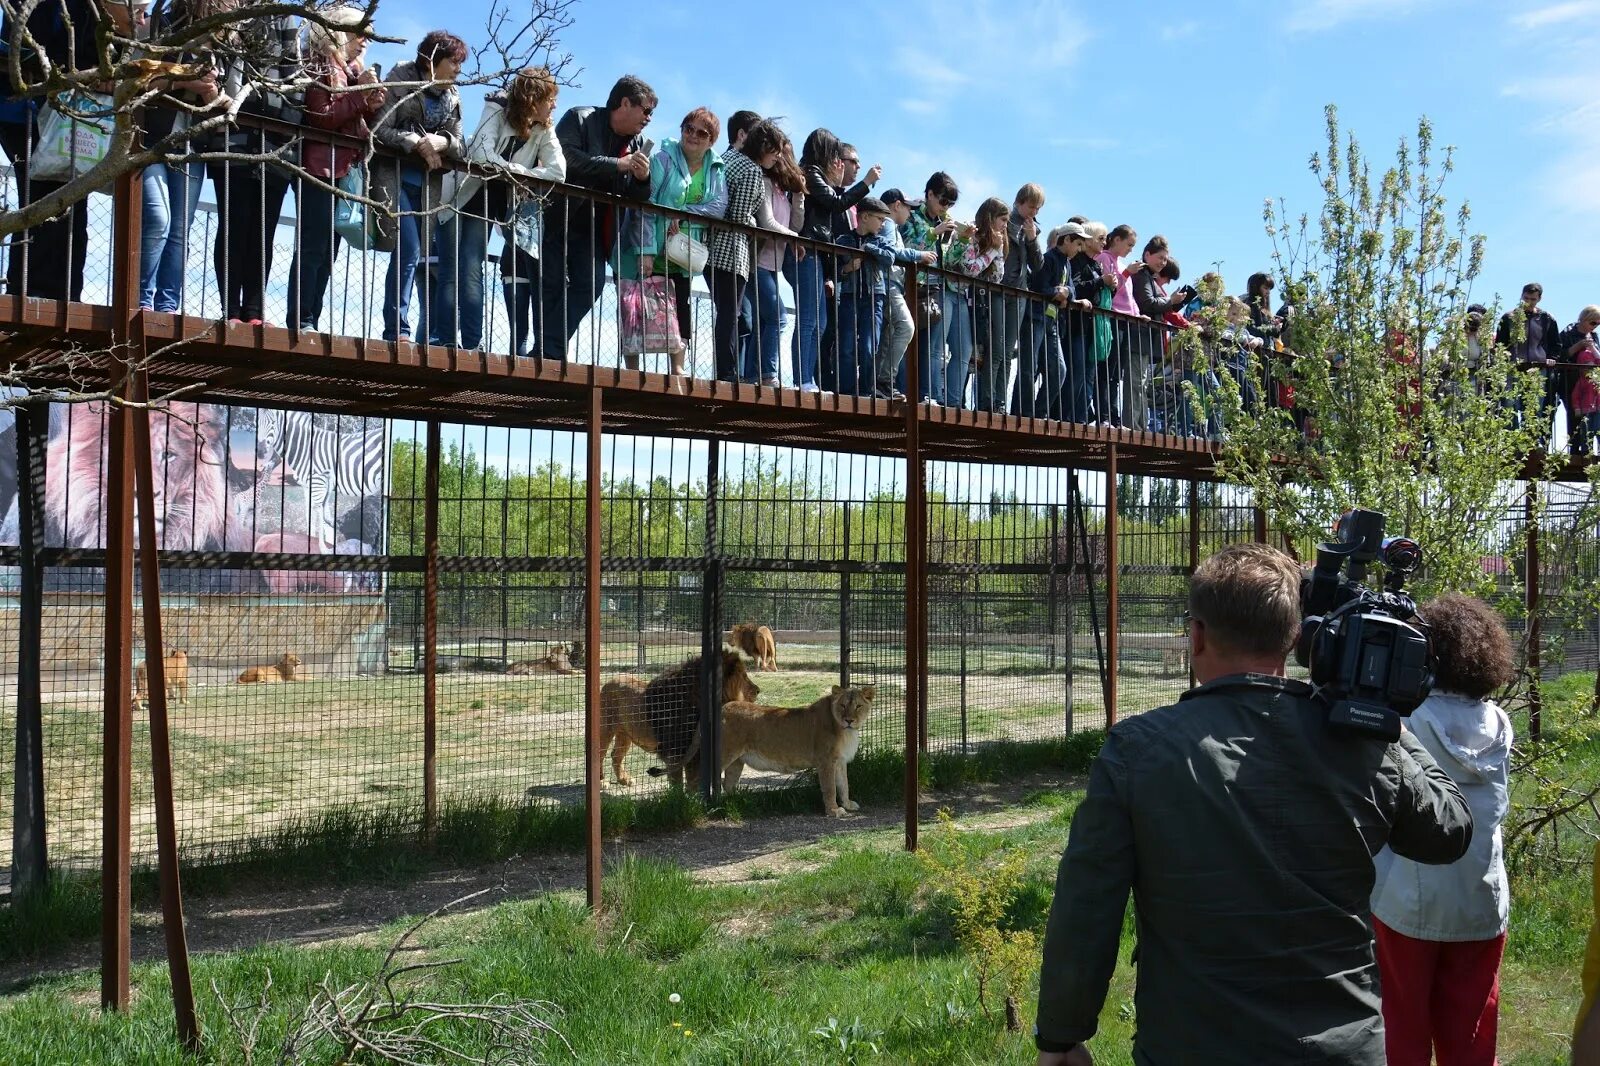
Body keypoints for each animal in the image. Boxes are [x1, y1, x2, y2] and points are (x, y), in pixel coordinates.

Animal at [723, 681, 876, 813]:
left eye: (858, 706)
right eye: (843, 705)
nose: (849, 720)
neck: (846, 731)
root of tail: (724, 708)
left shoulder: (840, 761)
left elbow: (844, 784)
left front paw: (847, 805)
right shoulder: (826, 760)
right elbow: (830, 788)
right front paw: (833, 811)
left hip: (736, 762)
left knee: (727, 784)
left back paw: (733, 803)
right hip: (725, 754)